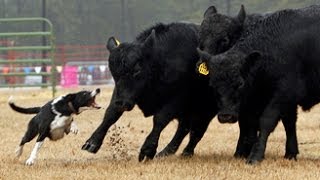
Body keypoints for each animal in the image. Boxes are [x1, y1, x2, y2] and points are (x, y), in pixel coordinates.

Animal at [82, 21, 218, 161]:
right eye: (113, 72)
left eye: (137, 70)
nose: (122, 103)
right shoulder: (119, 93)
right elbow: (111, 113)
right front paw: (92, 142)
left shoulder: (178, 98)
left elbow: (160, 119)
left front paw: (147, 149)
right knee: (185, 128)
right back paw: (166, 152)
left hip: (205, 109)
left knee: (195, 131)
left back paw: (185, 152)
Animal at [198, 4, 320, 165]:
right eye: (213, 85)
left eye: (240, 83)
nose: (225, 116)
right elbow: (284, 123)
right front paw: (290, 153)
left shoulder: (284, 93)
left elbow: (265, 122)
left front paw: (255, 155)